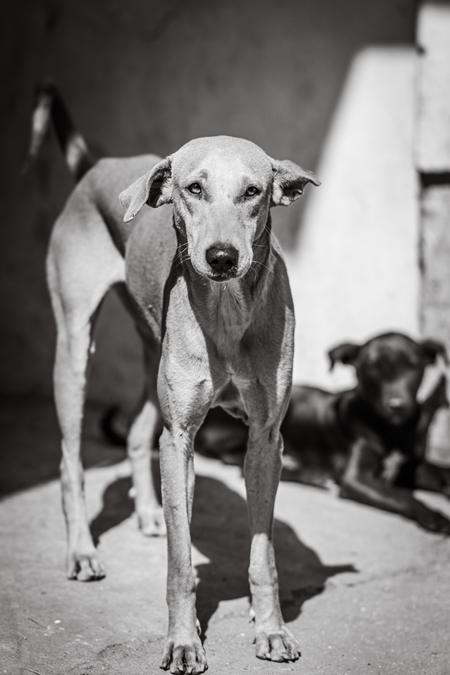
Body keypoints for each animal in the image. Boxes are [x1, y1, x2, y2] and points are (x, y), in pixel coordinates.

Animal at [27, 84, 320, 672]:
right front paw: (184, 642)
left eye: (253, 191)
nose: (223, 257)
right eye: (194, 188)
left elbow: (263, 554)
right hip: (73, 350)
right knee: (71, 461)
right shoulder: (182, 436)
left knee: (141, 435)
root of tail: (97, 165)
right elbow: (181, 565)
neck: (228, 313)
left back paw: (150, 511)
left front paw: (271, 629)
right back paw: (82, 551)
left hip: (150, 353)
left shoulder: (265, 441)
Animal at [194, 332, 450, 532]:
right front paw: (433, 516)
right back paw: (313, 475)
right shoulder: (354, 478)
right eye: (373, 370)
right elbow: (402, 496)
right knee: (239, 461)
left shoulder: (412, 467)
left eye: (413, 367)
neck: (392, 429)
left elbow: (439, 473)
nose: (397, 406)